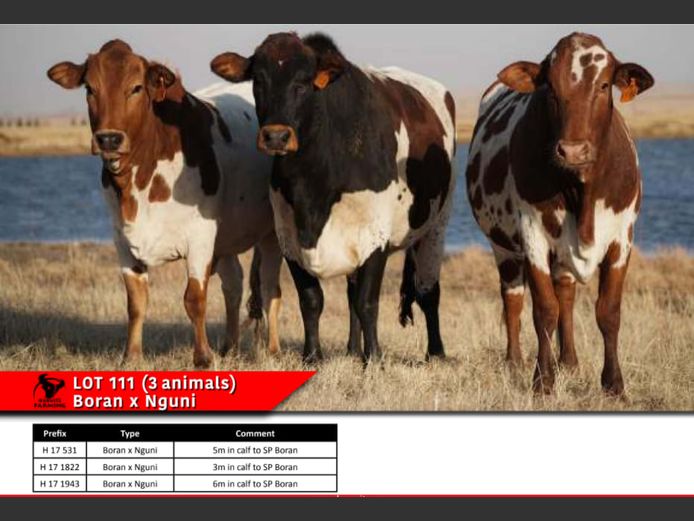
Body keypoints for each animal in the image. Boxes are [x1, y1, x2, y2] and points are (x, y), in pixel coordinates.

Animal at [47, 40, 283, 368]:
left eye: (136, 87)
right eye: (90, 89)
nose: (109, 139)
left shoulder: (200, 237)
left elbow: (194, 299)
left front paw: (203, 358)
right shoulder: (122, 239)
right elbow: (136, 302)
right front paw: (131, 356)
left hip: (271, 234)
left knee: (271, 286)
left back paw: (272, 351)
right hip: (226, 238)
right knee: (233, 285)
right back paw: (230, 347)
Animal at [210, 32, 456, 363]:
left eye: (303, 83)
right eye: (258, 81)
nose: (276, 137)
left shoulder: (375, 239)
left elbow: (368, 303)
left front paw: (374, 359)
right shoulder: (291, 239)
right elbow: (312, 300)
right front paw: (312, 355)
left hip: (436, 226)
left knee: (428, 291)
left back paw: (436, 352)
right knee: (352, 292)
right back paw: (353, 349)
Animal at [466, 32, 654, 395]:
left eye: (604, 85)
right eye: (550, 88)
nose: (573, 150)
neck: (582, 193)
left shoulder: (622, 238)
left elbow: (608, 312)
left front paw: (614, 384)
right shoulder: (533, 237)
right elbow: (544, 310)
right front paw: (543, 380)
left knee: (566, 292)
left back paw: (569, 361)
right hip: (503, 247)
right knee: (513, 298)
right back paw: (515, 362)